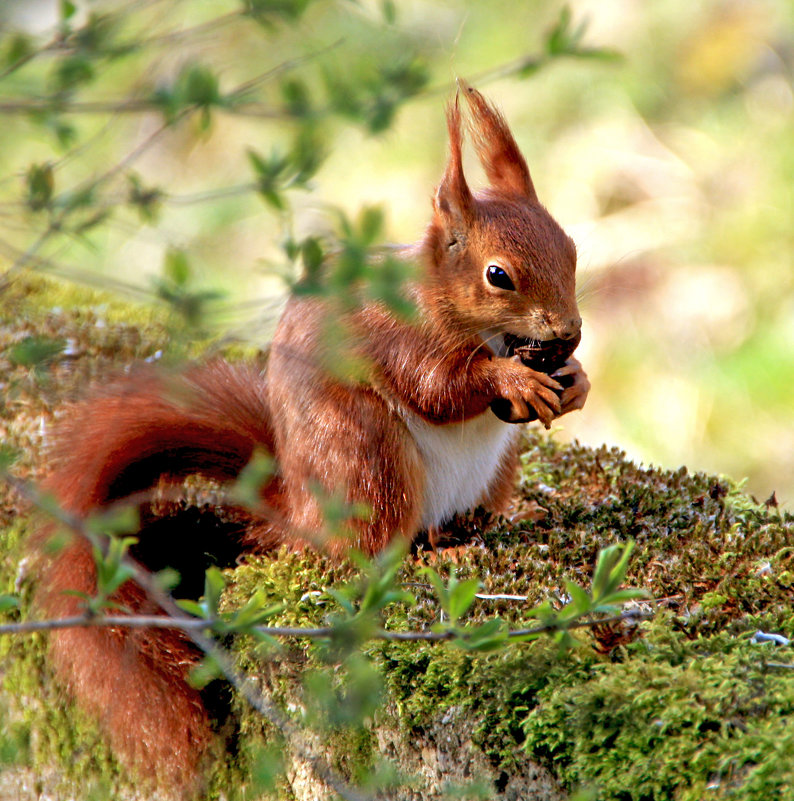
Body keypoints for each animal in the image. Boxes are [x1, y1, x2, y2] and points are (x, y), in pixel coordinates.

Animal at [37, 84, 588, 792]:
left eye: (571, 248)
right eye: (499, 276)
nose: (569, 333)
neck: (459, 311)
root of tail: (297, 514)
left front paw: (576, 383)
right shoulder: (398, 334)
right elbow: (437, 387)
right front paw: (511, 378)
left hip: (494, 467)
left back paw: (479, 526)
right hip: (368, 455)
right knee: (367, 552)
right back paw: (430, 558)